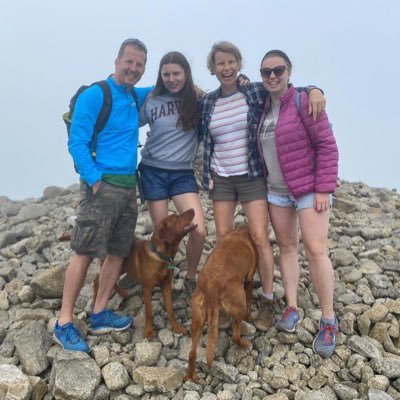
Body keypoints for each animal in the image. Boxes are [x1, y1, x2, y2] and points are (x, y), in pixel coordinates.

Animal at [94, 208, 200, 340]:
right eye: (177, 218)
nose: (193, 209)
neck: (160, 256)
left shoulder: (166, 285)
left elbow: (170, 310)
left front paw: (177, 327)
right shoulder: (147, 288)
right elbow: (149, 312)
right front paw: (149, 331)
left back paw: (123, 293)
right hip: (113, 264)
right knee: (97, 280)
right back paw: (94, 302)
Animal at [186, 223, 258, 382]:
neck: (241, 231)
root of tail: (211, 285)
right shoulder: (249, 279)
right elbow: (250, 301)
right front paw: (251, 318)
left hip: (198, 320)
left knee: (192, 353)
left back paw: (192, 377)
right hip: (239, 305)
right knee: (235, 336)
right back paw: (245, 343)